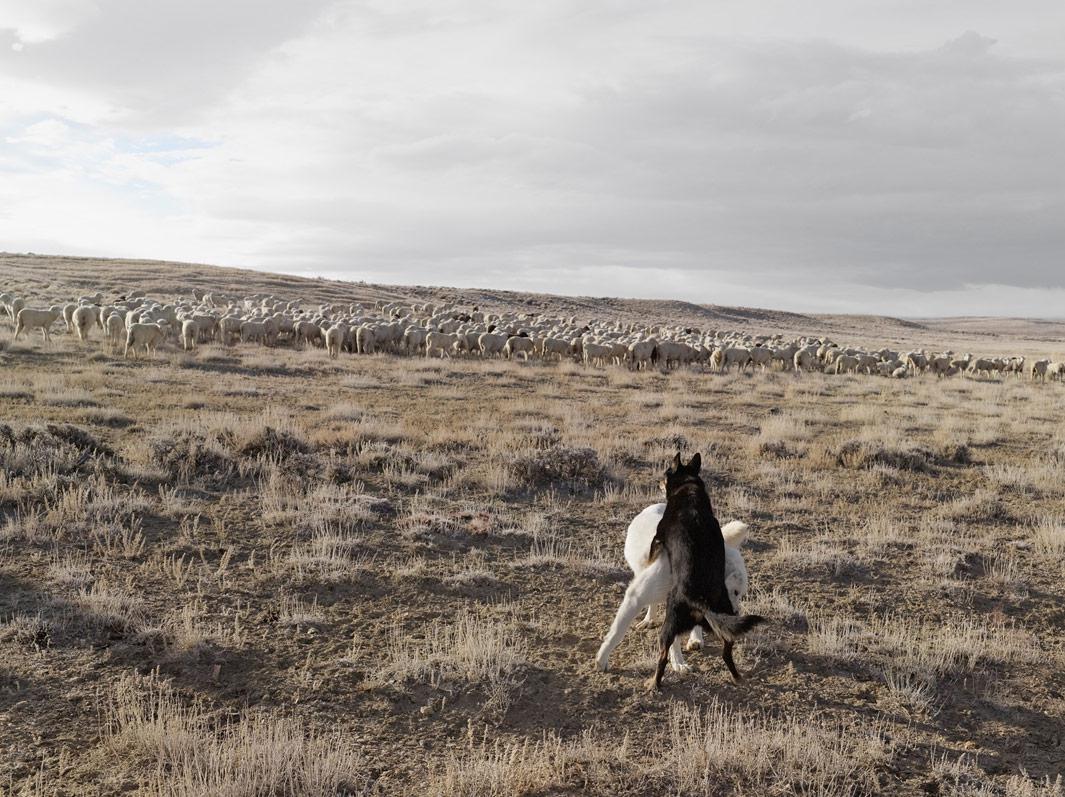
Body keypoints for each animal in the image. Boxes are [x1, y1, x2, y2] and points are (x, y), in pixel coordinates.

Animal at [596, 505, 754, 673]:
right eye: (735, 592)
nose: (736, 613)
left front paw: (678, 662)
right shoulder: (636, 596)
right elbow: (617, 633)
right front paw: (602, 660)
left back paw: (695, 639)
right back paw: (649, 619)